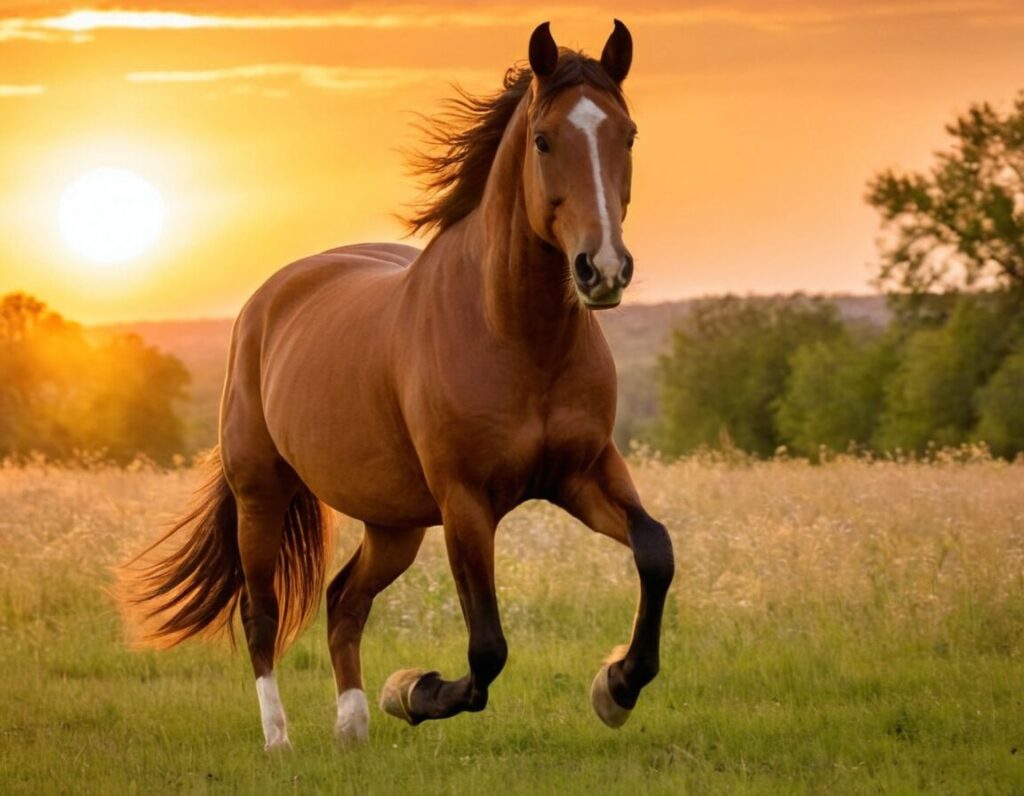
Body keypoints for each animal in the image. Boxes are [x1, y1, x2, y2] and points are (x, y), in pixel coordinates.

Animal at [123, 20, 675, 749]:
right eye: (543, 138)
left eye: (629, 134)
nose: (603, 269)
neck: (518, 338)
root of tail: (268, 298)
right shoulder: (465, 501)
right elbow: (487, 649)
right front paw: (414, 691)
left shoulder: (583, 474)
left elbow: (655, 551)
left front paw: (615, 687)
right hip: (261, 495)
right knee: (261, 611)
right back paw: (281, 738)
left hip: (394, 522)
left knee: (343, 601)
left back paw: (353, 726)